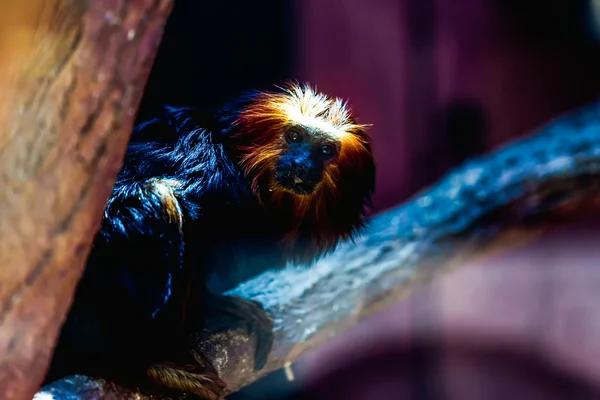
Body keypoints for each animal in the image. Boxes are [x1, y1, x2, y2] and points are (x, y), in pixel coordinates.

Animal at [45, 83, 376, 398]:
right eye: (294, 136)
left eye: (325, 150)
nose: (301, 164)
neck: (245, 172)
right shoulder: (209, 172)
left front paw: (213, 305)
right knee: (158, 196)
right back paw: (144, 361)